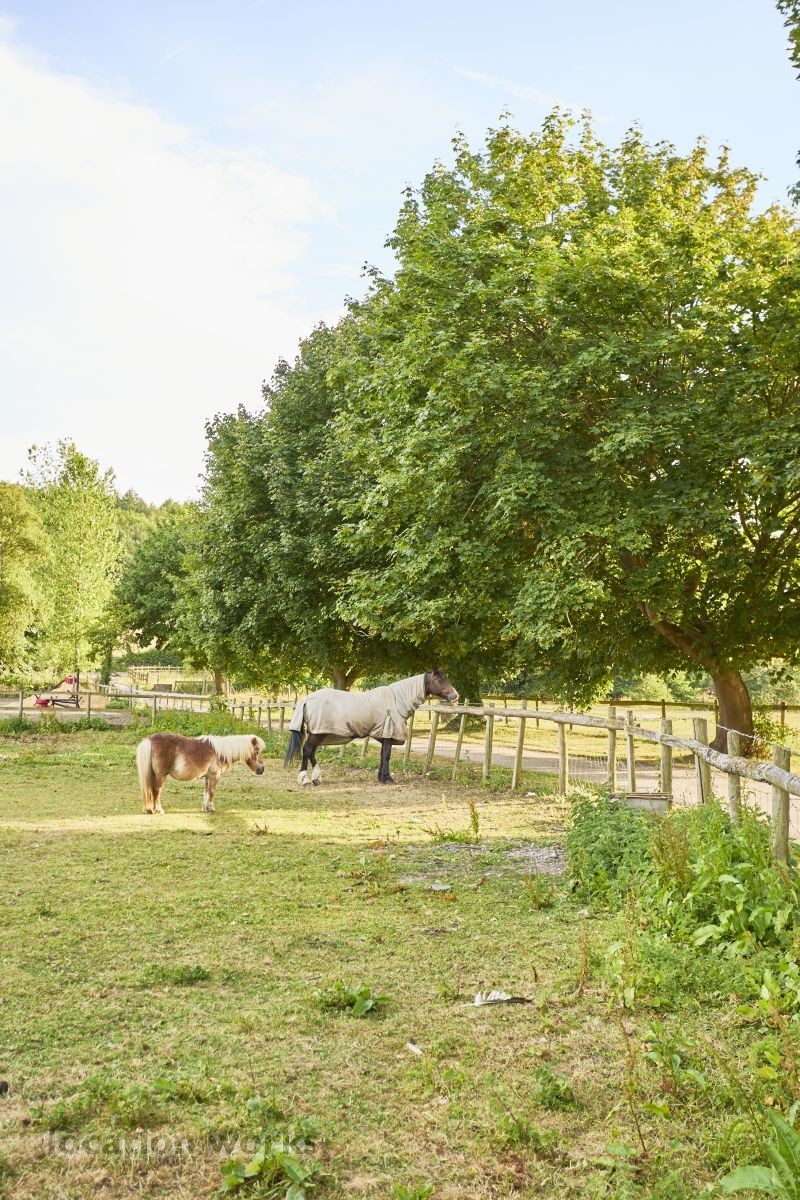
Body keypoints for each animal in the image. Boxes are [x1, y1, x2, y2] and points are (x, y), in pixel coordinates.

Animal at [136, 733, 265, 814]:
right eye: (257, 751)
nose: (261, 769)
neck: (220, 752)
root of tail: (150, 739)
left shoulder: (207, 777)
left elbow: (206, 792)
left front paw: (205, 808)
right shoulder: (214, 776)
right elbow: (212, 792)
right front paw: (210, 809)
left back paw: (151, 809)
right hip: (160, 776)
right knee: (156, 791)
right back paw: (159, 810)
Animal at [284, 669, 459, 786]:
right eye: (440, 680)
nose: (455, 696)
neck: (397, 699)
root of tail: (307, 698)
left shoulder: (384, 734)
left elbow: (382, 755)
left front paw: (381, 778)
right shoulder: (388, 733)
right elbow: (387, 756)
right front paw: (388, 779)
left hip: (320, 732)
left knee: (311, 752)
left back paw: (316, 778)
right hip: (318, 733)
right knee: (307, 750)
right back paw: (305, 779)